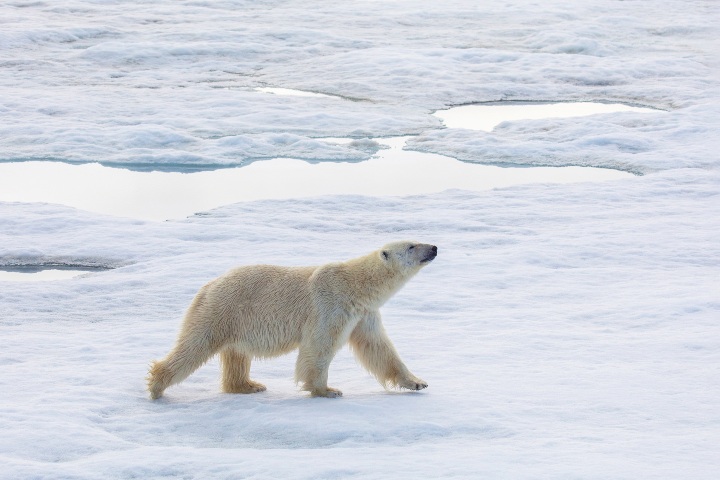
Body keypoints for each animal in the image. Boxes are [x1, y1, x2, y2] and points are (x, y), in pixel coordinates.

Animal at [147, 241, 437, 399]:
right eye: (411, 246)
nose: (434, 248)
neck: (355, 285)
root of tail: (207, 286)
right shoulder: (330, 305)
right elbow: (318, 347)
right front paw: (327, 390)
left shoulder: (363, 314)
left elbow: (379, 349)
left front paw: (417, 382)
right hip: (222, 310)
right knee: (195, 345)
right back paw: (157, 386)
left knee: (236, 355)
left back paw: (249, 385)